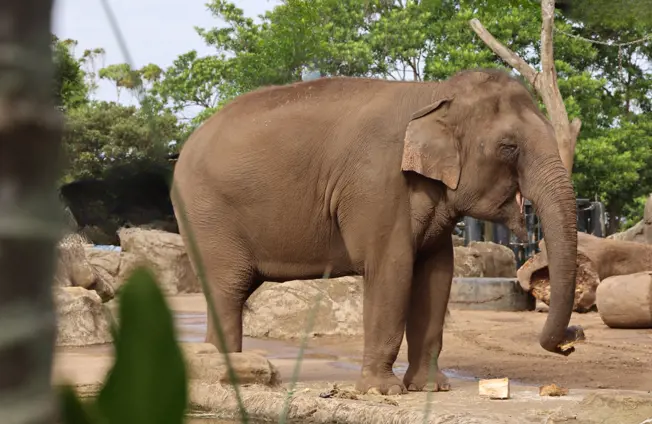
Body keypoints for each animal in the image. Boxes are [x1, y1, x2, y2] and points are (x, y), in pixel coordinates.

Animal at [171, 68, 579, 395]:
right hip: (207, 215)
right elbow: (391, 270)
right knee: (228, 288)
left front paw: (430, 388)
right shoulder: (377, 185)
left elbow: (437, 276)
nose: (572, 341)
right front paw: (383, 392)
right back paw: (230, 374)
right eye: (508, 147)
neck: (434, 94)